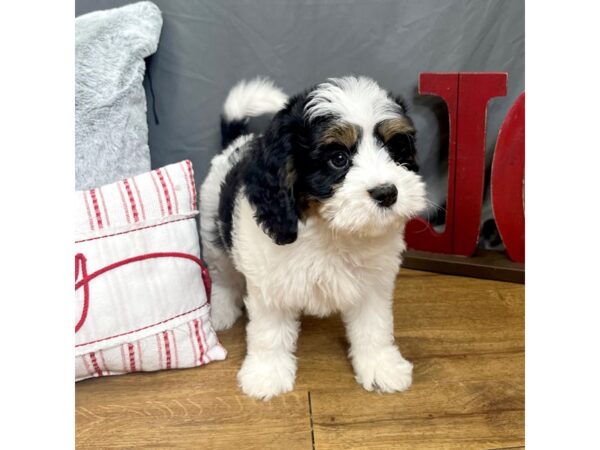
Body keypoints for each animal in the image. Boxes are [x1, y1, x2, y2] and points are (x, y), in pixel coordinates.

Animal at [200, 75, 426, 400]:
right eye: (339, 159)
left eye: (395, 151)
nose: (387, 192)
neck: (329, 229)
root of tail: (236, 143)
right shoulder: (271, 281)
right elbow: (269, 332)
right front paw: (266, 375)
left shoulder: (372, 283)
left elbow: (375, 325)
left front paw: (380, 365)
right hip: (212, 226)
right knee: (222, 275)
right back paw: (220, 311)